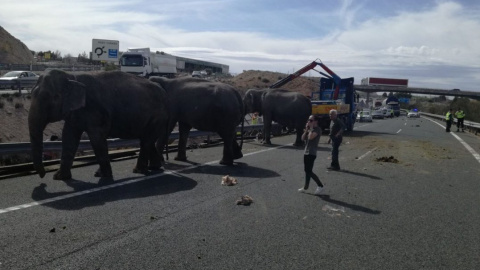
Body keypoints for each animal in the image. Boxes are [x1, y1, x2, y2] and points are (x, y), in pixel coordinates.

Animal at [28, 69, 171, 181]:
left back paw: (138, 170)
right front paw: (59, 177)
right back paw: (154, 167)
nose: (42, 175)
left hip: (157, 117)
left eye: (53, 97)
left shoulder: (94, 110)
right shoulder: (75, 112)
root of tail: (164, 92)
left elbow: (96, 138)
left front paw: (103, 175)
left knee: (146, 141)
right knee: (147, 140)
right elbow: (69, 137)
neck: (71, 77)